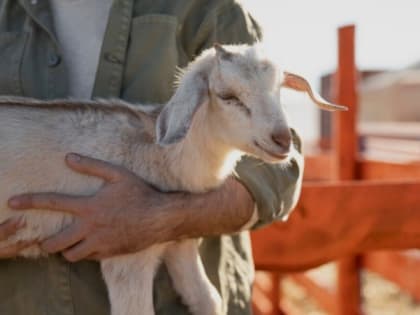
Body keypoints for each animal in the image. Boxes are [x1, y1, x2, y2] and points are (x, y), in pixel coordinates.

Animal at [0, 43, 346, 315]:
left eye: (279, 90)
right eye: (227, 96)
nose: (283, 140)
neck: (158, 153)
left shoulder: (179, 241)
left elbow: (209, 299)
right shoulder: (126, 254)